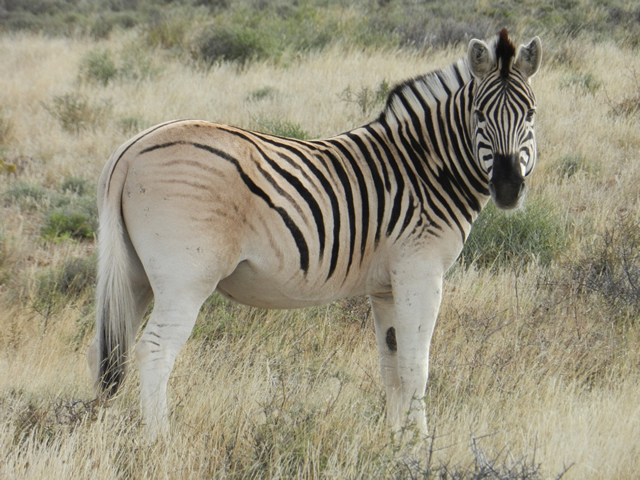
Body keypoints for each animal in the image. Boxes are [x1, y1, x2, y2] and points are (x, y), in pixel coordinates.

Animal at [86, 29, 540, 438]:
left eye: (531, 115)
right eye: (479, 115)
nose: (508, 188)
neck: (426, 169)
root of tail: (130, 149)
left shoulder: (386, 286)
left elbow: (391, 366)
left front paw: (394, 443)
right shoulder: (420, 272)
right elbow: (416, 367)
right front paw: (422, 447)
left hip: (134, 275)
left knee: (106, 352)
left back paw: (98, 433)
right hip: (185, 278)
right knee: (153, 351)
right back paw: (160, 442)